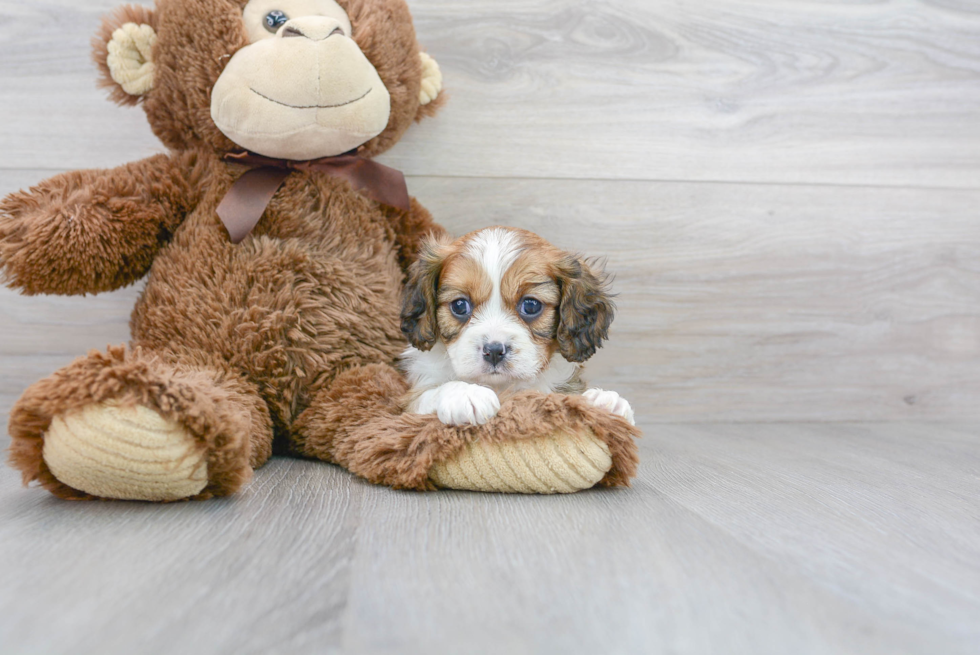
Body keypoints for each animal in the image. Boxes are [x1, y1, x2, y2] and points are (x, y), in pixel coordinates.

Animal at [398, 228, 636, 428]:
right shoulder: (409, 406)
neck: (502, 387)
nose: (494, 351)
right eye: (459, 305)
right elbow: (431, 393)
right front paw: (465, 393)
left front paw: (603, 400)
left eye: (531, 305)